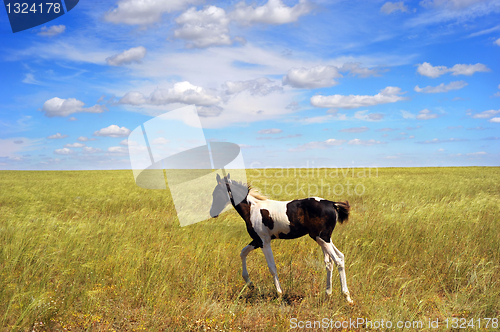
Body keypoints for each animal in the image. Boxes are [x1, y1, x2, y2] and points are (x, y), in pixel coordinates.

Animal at [209, 174, 354, 304]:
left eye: (216, 193)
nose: (212, 213)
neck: (252, 209)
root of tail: (333, 204)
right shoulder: (257, 240)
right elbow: (243, 252)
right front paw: (250, 284)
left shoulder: (264, 241)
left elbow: (272, 267)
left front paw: (279, 293)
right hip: (323, 239)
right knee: (333, 261)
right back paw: (328, 294)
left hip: (322, 238)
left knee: (338, 260)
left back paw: (347, 297)